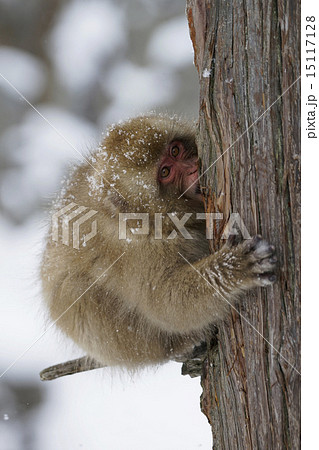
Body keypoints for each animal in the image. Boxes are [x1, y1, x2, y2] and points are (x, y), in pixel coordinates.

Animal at [40, 114, 278, 374]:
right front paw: (234, 268)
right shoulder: (137, 250)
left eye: (175, 150)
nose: (195, 168)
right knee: (76, 289)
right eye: (165, 171)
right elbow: (167, 304)